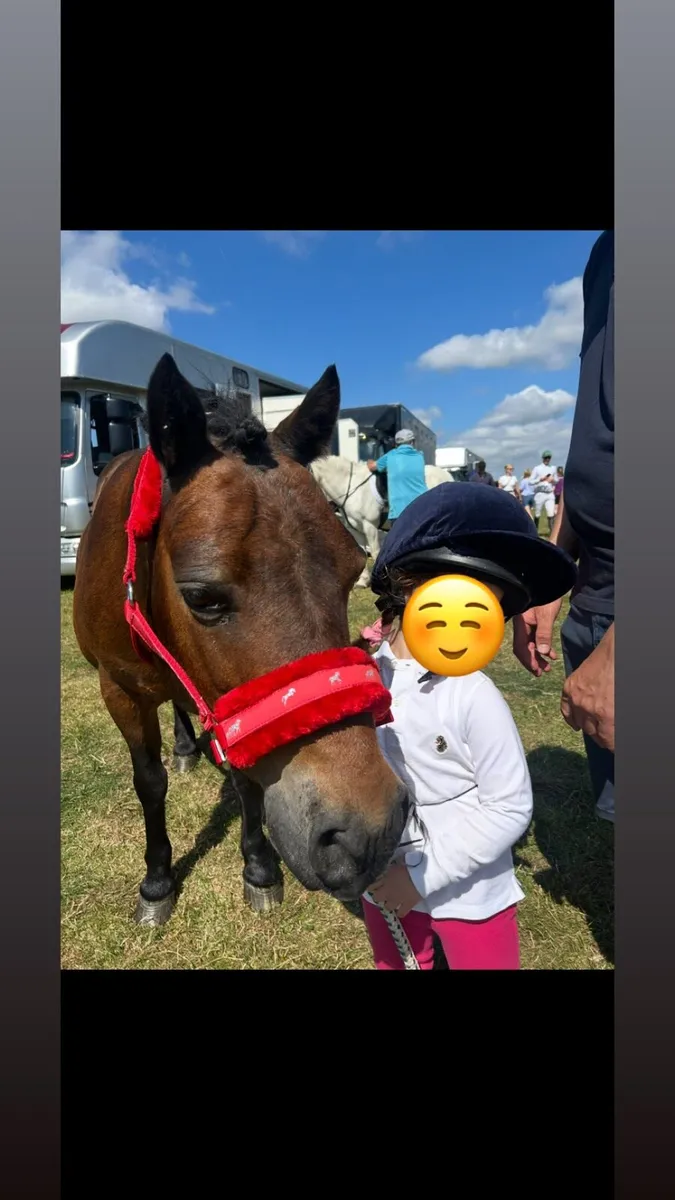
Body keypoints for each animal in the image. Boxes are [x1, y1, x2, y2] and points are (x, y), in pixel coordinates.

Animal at [72, 354, 409, 927]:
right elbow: (149, 782)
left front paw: (258, 866)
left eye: (353, 573)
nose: (369, 832)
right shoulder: (118, 690)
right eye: (202, 597)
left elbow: (248, 778)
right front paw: (157, 881)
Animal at [309, 455, 454, 587]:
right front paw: (363, 581)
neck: (353, 490)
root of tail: (446, 475)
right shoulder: (355, 529)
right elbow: (362, 552)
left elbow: (375, 552)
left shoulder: (370, 526)